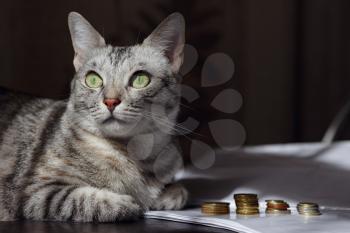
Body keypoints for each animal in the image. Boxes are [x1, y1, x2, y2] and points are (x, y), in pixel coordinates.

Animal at [0, 12, 189, 222]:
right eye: (93, 79)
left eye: (140, 79)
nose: (111, 101)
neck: (134, 154)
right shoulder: (33, 191)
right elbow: (82, 199)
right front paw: (129, 203)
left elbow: (181, 190)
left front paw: (163, 195)